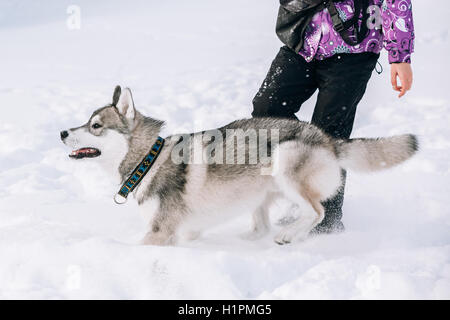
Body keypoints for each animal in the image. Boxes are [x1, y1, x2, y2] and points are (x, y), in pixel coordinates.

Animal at [59, 86, 418, 246]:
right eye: (85, 122)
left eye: (95, 126)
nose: (62, 132)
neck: (147, 161)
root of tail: (328, 139)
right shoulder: (183, 230)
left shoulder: (160, 232)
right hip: (259, 191)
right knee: (262, 226)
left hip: (285, 162)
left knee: (316, 212)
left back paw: (290, 234)